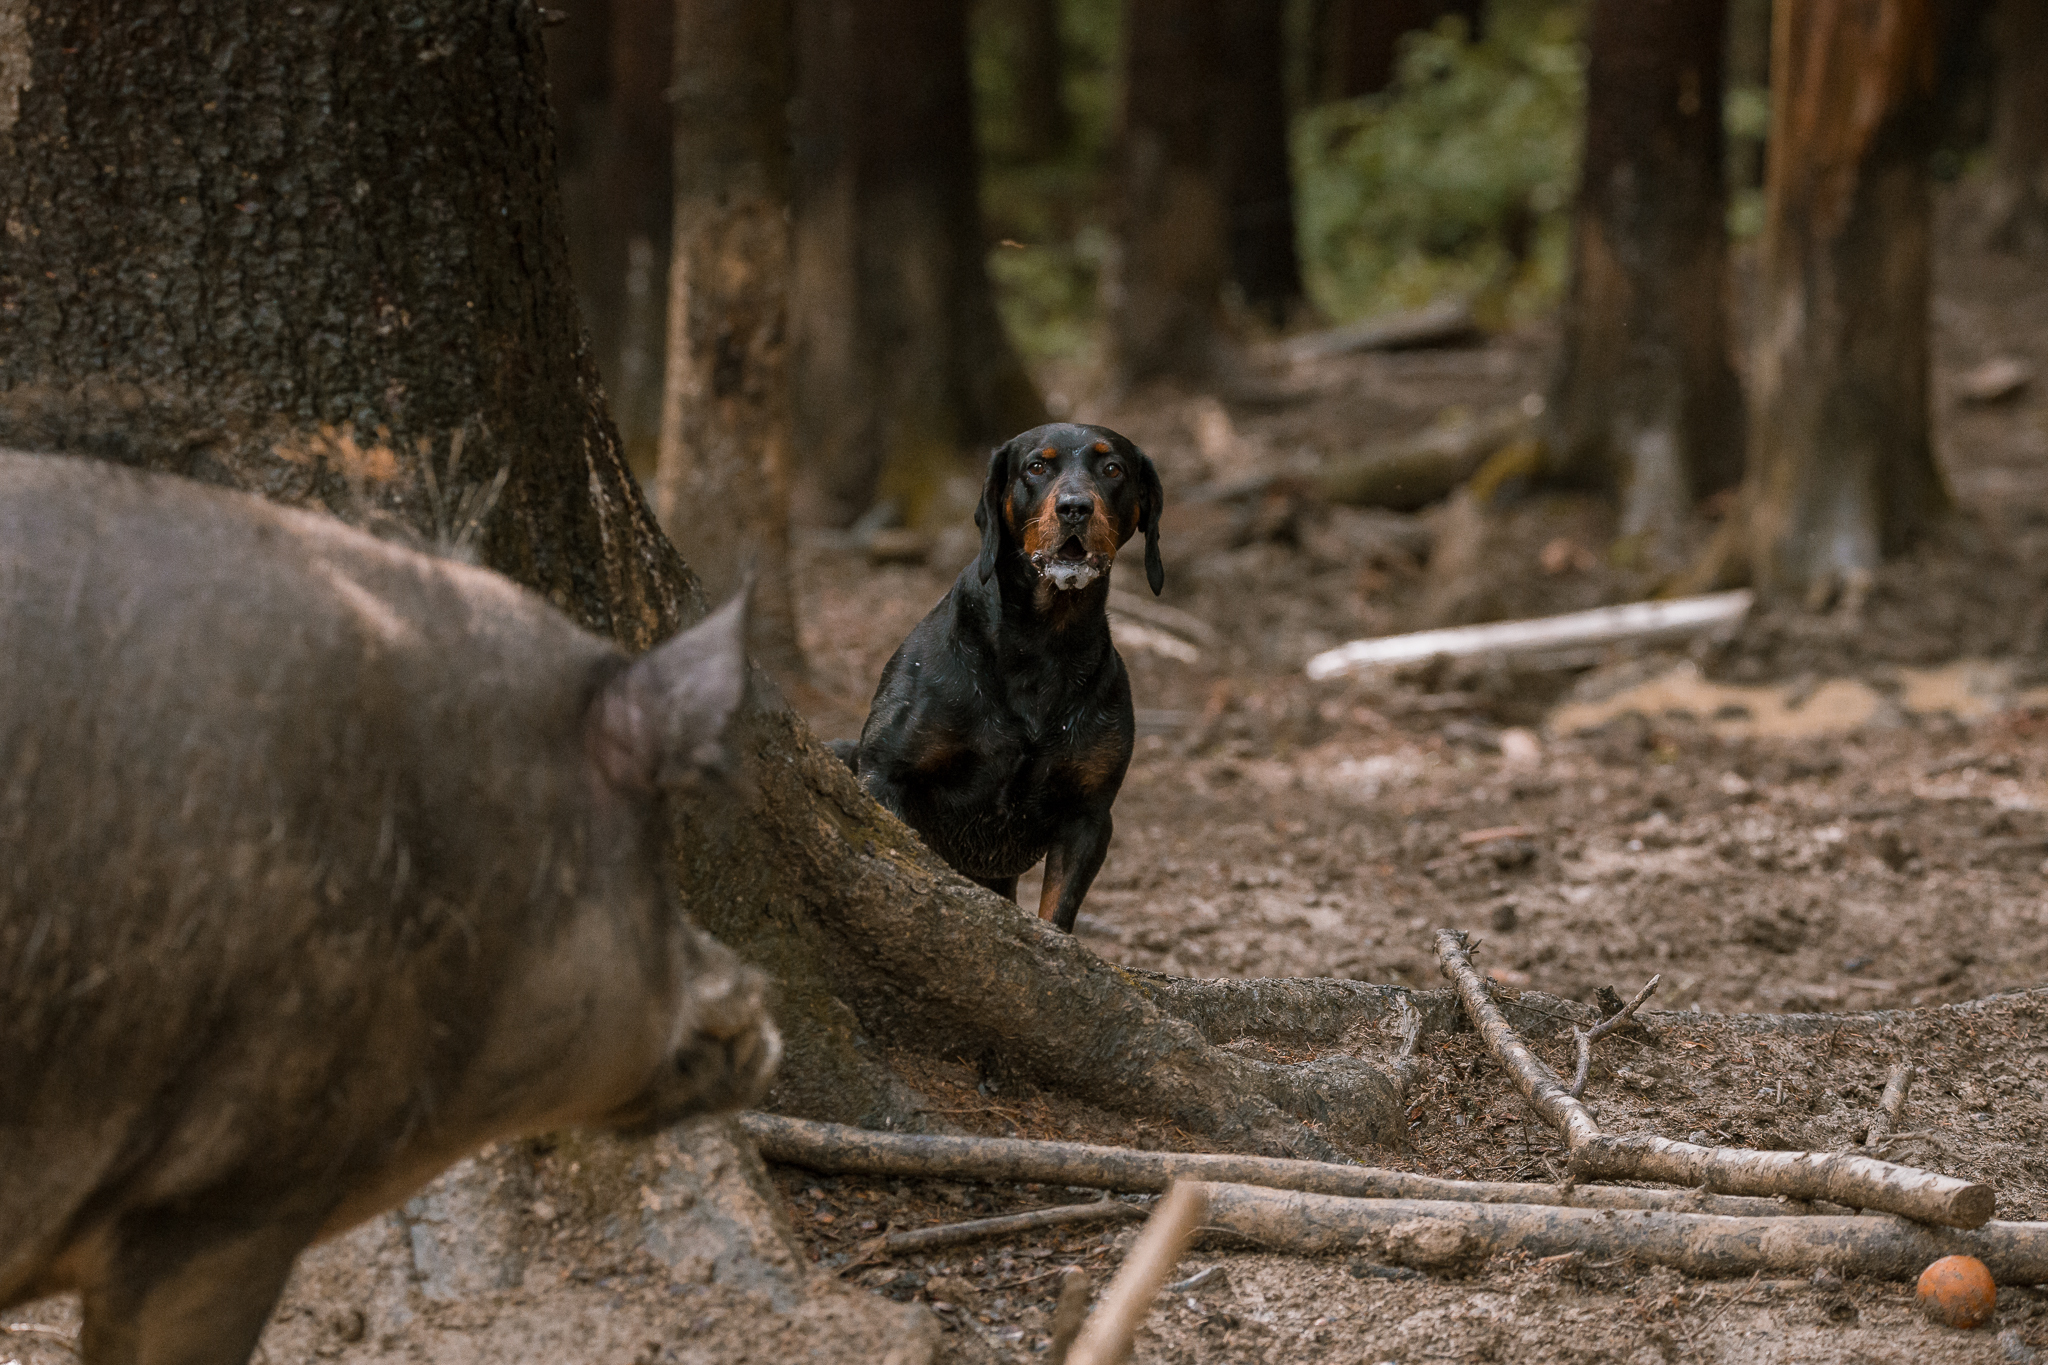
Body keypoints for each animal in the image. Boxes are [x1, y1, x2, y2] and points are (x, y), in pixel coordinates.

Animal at [835, 421, 1163, 929]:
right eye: (1037, 466)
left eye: (1113, 469)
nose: (1075, 508)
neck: (1042, 642)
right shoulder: (885, 774)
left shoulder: (1088, 816)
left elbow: (1056, 914)